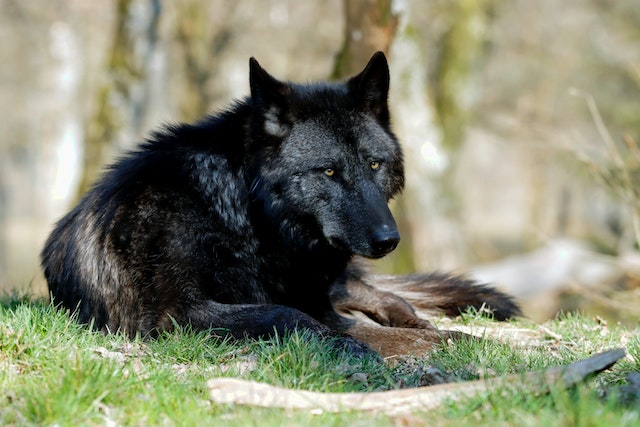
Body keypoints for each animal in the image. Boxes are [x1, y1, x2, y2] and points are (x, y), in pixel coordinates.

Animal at [41, 51, 520, 358]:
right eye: (329, 171)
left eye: (374, 163)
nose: (389, 239)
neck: (242, 217)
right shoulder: (175, 314)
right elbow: (290, 315)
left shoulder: (317, 295)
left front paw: (452, 339)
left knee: (386, 297)